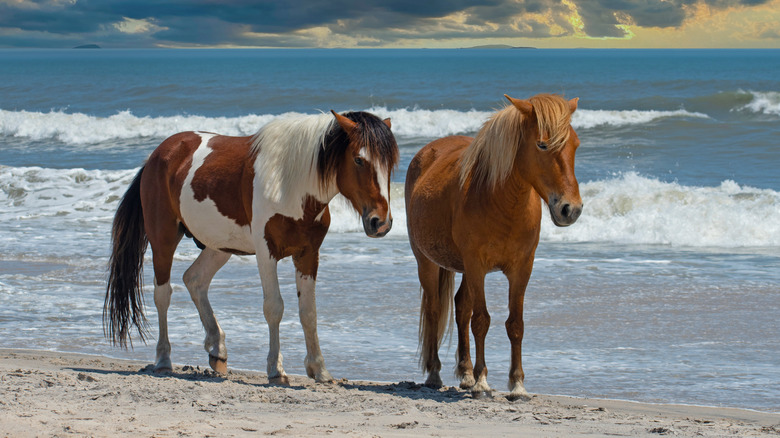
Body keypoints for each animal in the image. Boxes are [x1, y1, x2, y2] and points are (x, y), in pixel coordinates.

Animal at [105, 110, 399, 384]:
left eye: (391, 164)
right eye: (359, 159)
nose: (380, 222)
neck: (291, 184)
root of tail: (158, 155)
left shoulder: (308, 254)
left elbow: (309, 312)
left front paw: (319, 370)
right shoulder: (266, 253)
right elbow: (274, 307)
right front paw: (276, 370)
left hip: (219, 246)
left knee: (194, 279)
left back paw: (217, 348)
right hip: (163, 239)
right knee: (163, 295)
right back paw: (164, 359)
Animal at [405, 93, 582, 400]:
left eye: (575, 144)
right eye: (542, 144)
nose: (570, 209)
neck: (502, 201)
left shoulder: (522, 268)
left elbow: (515, 324)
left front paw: (517, 385)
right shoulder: (477, 265)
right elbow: (481, 321)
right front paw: (482, 382)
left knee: (461, 307)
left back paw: (465, 373)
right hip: (427, 262)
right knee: (435, 309)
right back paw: (436, 374)